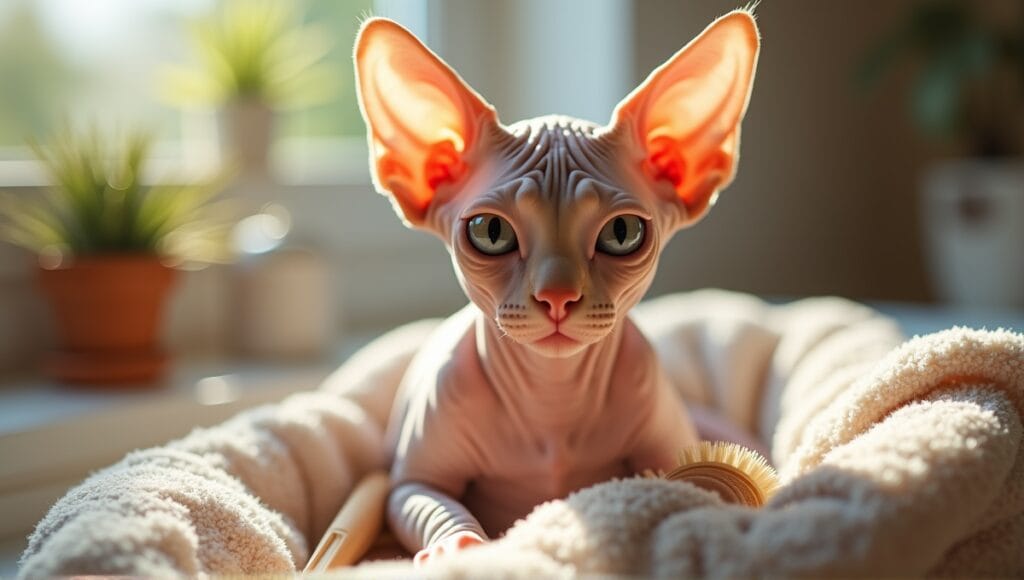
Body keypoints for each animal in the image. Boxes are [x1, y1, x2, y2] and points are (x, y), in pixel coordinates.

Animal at [352, 9, 761, 569]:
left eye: (621, 233)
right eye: (491, 232)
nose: (557, 297)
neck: (553, 394)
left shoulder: (669, 449)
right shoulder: (407, 485)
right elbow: (433, 504)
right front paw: (462, 547)